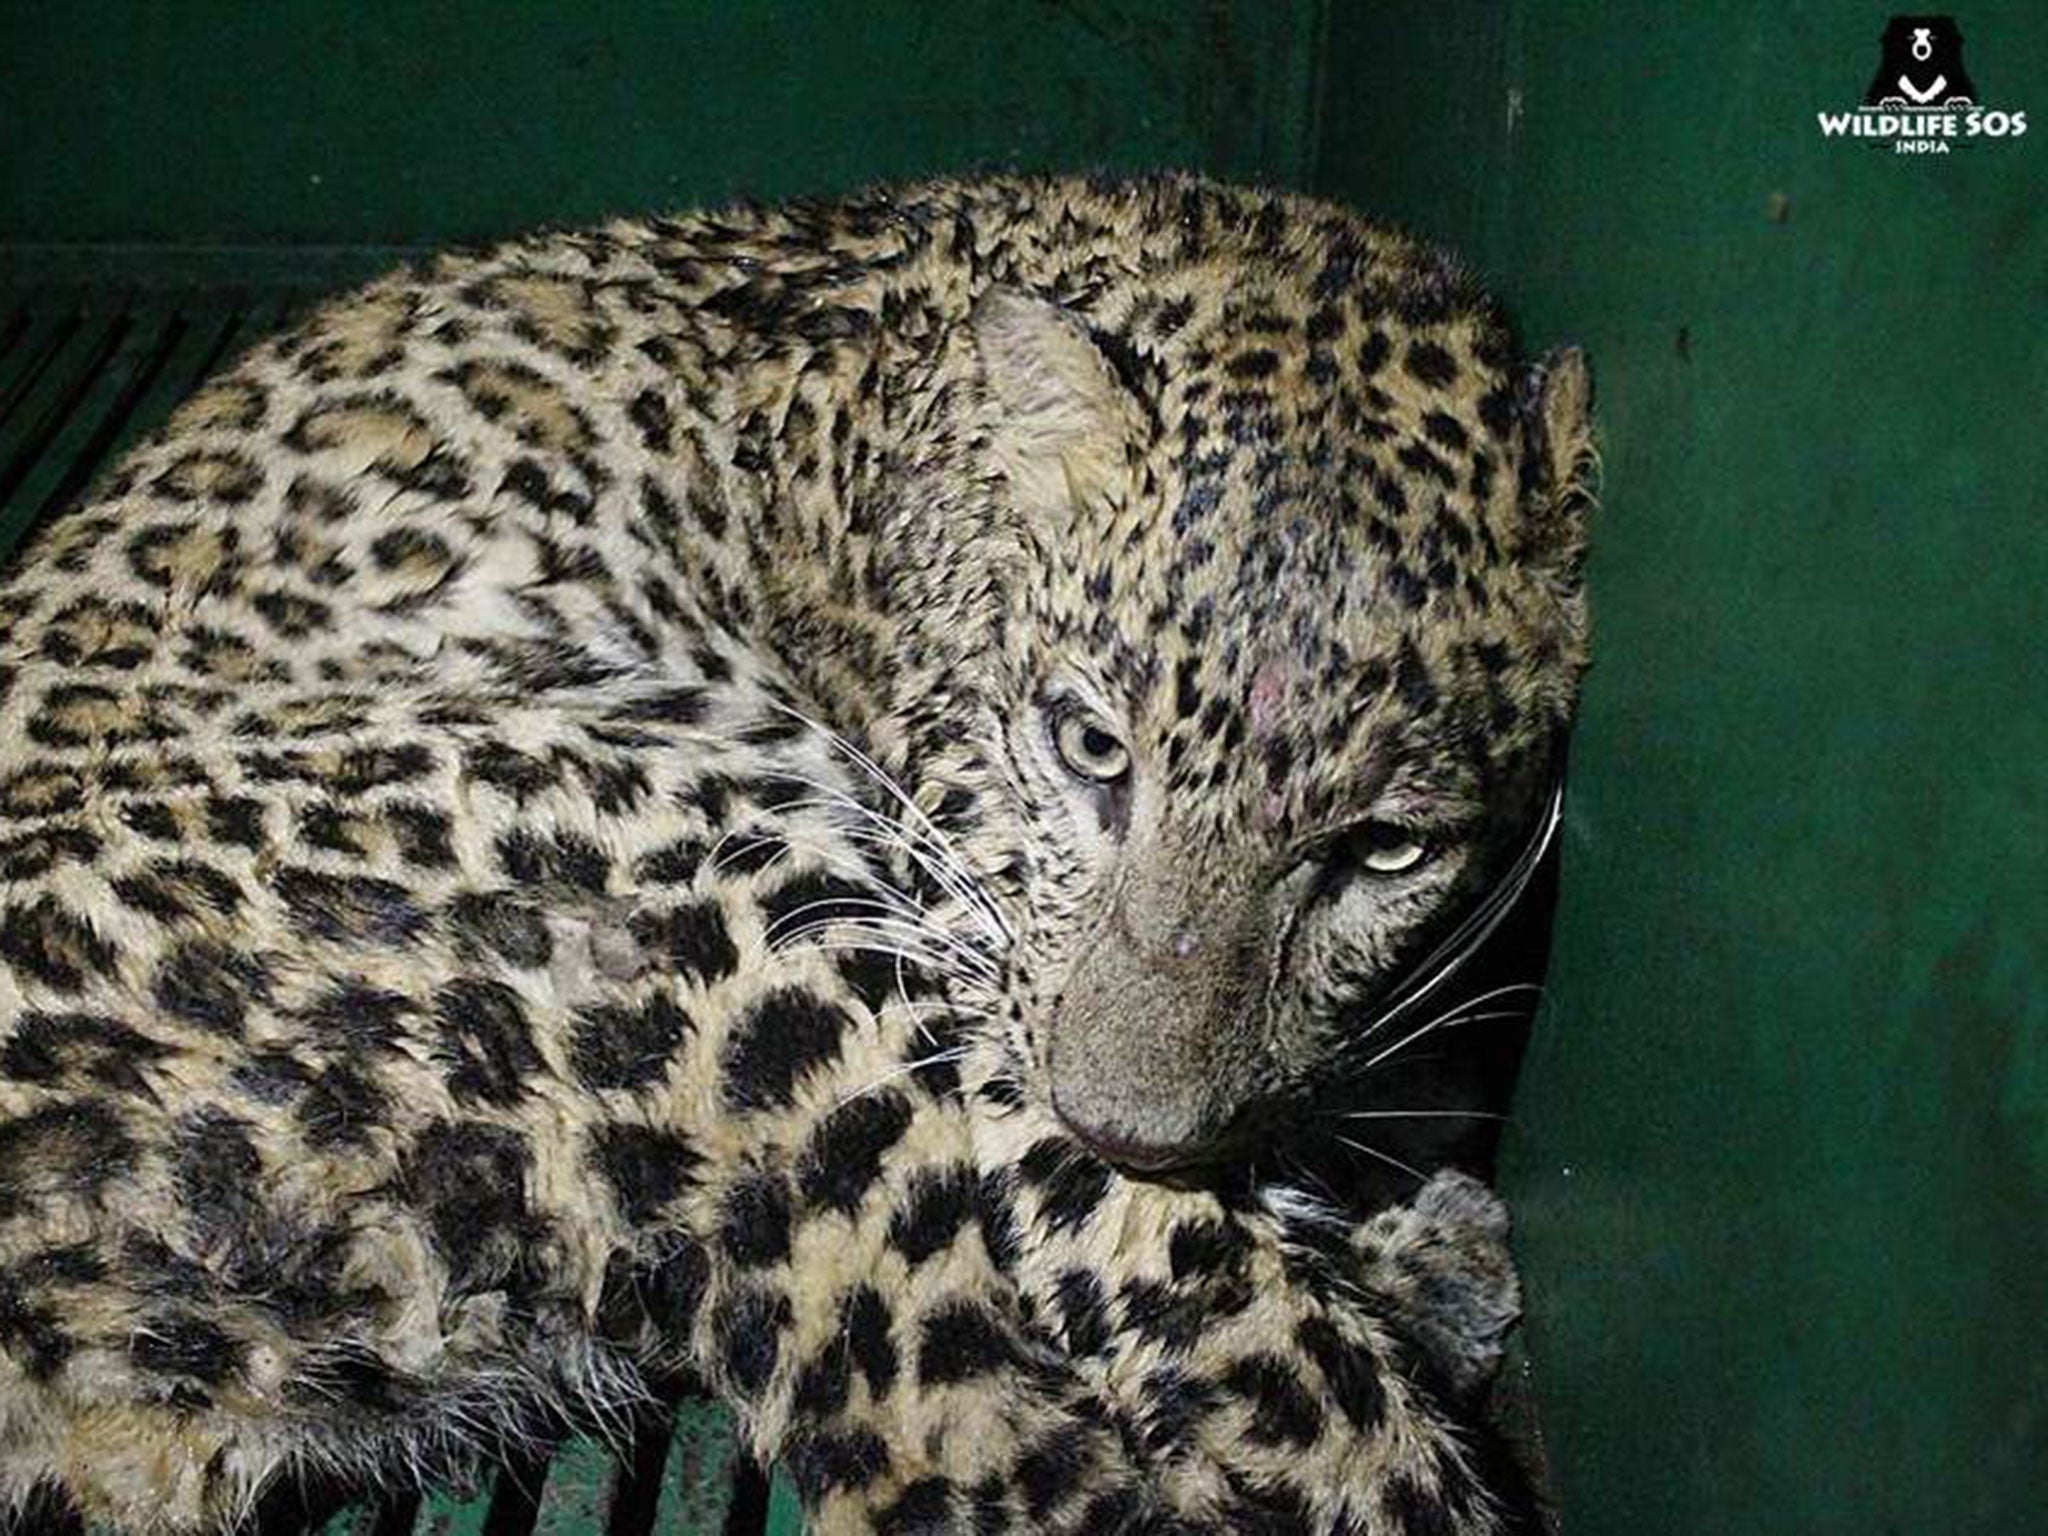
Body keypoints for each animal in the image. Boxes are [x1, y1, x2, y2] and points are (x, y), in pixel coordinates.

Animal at [0, 171, 1589, 1536]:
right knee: (967, 1444)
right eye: (1090, 749)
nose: (1130, 1132)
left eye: (1386, 850)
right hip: (739, 905)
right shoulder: (989, 978)